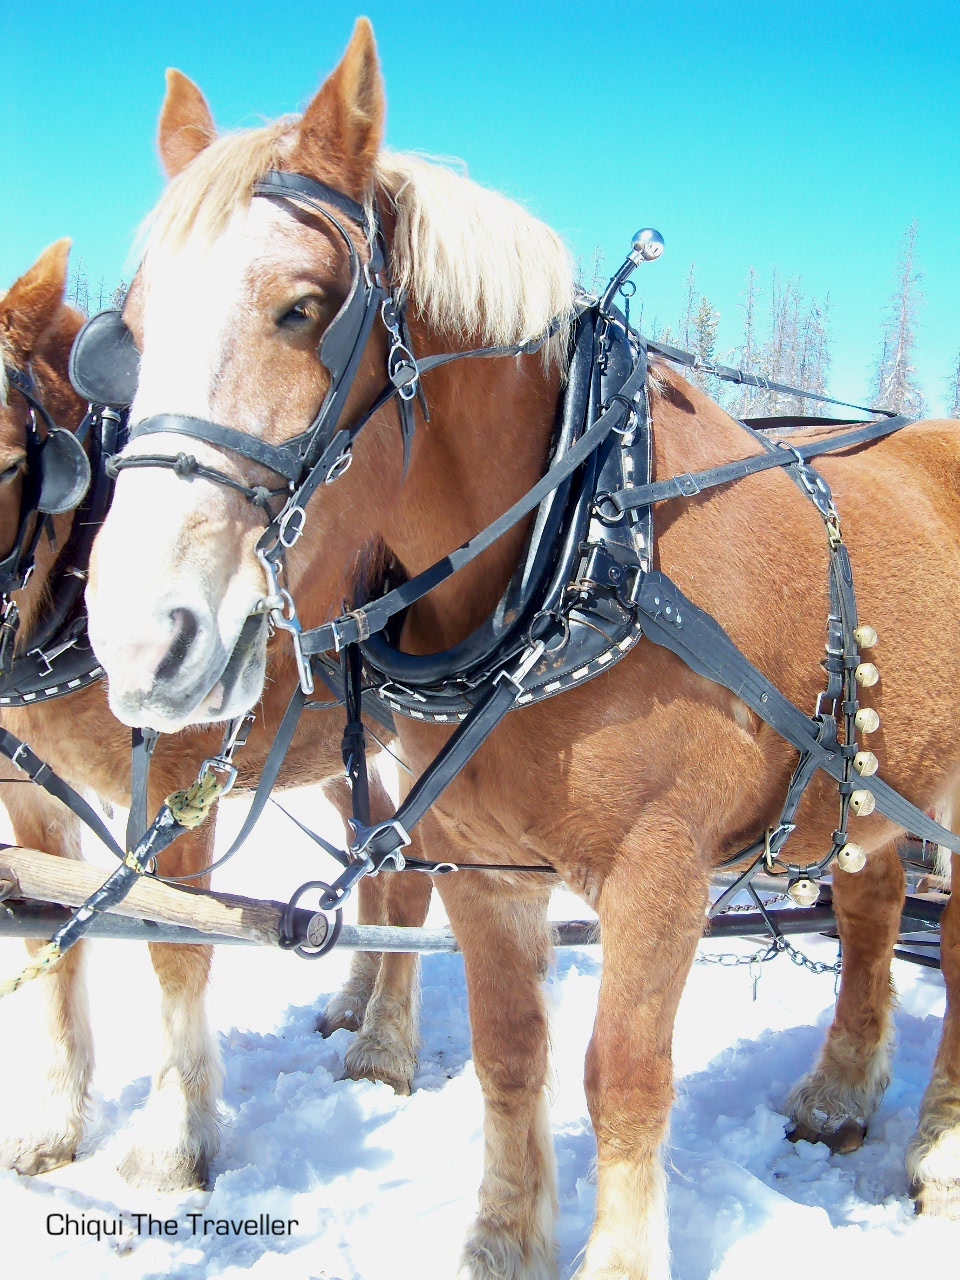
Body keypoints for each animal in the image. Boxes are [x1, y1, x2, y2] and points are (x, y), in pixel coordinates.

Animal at [0, 244, 432, 1192]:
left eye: (14, 465)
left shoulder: (177, 794)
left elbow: (174, 947)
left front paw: (173, 1145)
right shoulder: (30, 797)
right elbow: (55, 947)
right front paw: (50, 1125)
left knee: (415, 879)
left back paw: (386, 1049)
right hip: (328, 756)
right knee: (378, 867)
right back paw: (355, 1000)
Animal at [80, 17, 960, 1269]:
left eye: (303, 306)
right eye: (135, 329)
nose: (140, 635)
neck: (584, 546)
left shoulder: (657, 872)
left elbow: (624, 1077)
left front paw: (622, 1252)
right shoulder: (479, 865)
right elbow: (511, 1055)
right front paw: (503, 1240)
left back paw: (937, 1152)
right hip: (876, 781)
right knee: (876, 902)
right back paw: (839, 1096)